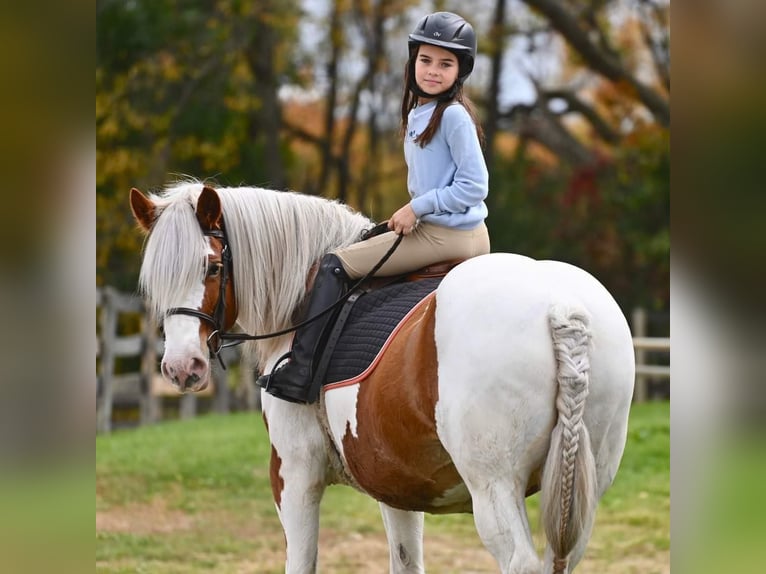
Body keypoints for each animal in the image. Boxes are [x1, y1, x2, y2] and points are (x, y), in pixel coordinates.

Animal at [130, 183, 636, 574]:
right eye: (154, 280)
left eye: (213, 267)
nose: (181, 368)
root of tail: (560, 305)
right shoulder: (395, 484)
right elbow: (406, 561)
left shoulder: (294, 472)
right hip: (579, 490)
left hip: (494, 486)